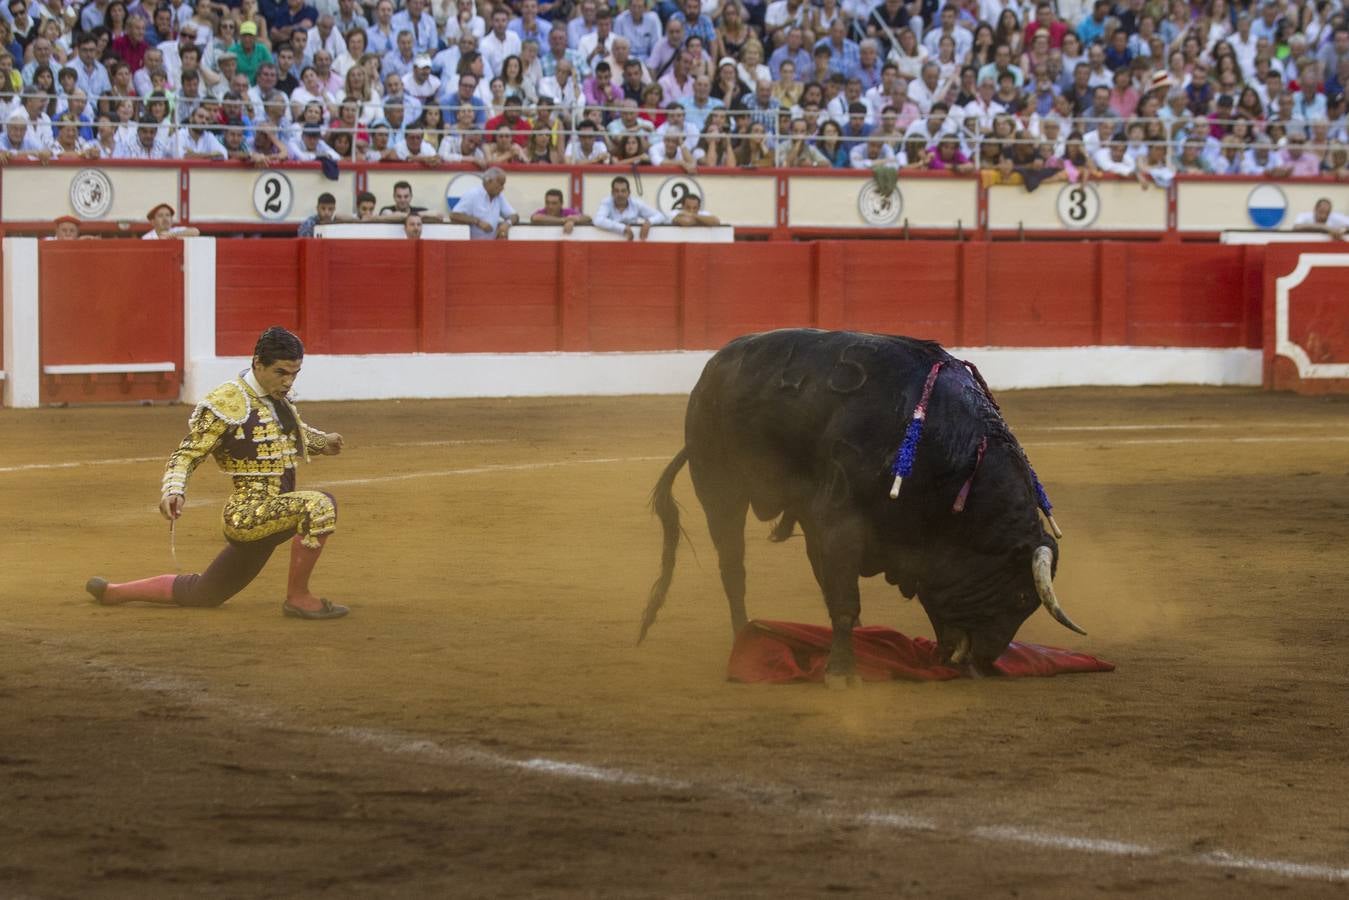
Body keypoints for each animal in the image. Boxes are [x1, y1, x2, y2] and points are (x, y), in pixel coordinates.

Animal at [642, 330, 1084, 690]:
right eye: (1021, 596)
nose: (988, 662)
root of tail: (709, 373)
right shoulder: (841, 520)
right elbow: (843, 600)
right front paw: (842, 673)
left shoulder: (832, 523)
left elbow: (836, 590)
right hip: (720, 490)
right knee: (733, 570)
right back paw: (745, 638)